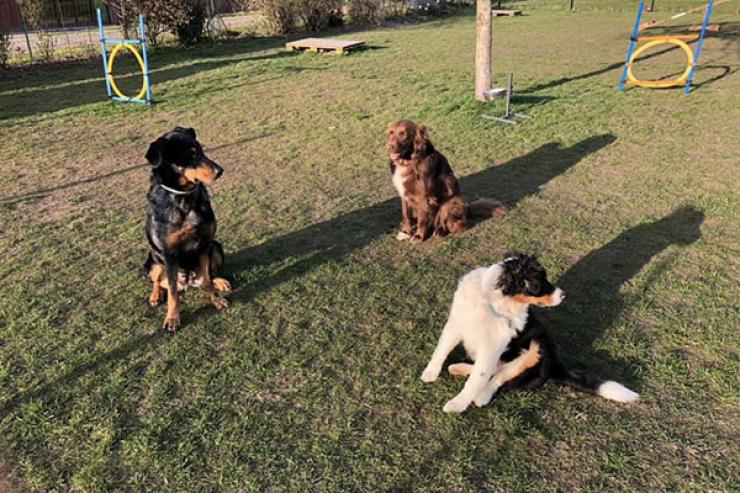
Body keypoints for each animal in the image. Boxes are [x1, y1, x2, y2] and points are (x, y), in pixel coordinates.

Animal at [142, 126, 228, 330]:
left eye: (202, 151)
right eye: (191, 155)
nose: (220, 171)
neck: (184, 198)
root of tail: (188, 282)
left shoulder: (205, 244)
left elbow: (208, 279)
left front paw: (216, 299)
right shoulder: (169, 254)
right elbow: (173, 293)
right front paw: (172, 318)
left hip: (217, 247)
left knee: (211, 273)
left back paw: (220, 281)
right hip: (152, 261)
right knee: (159, 282)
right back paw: (156, 295)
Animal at [420, 254, 640, 412]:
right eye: (540, 283)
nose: (564, 295)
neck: (493, 302)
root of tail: (555, 366)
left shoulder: (492, 347)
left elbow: (477, 379)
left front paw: (457, 404)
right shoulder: (456, 324)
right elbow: (441, 350)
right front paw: (430, 373)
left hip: (536, 349)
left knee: (499, 376)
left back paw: (482, 396)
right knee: (492, 370)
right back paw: (459, 368)